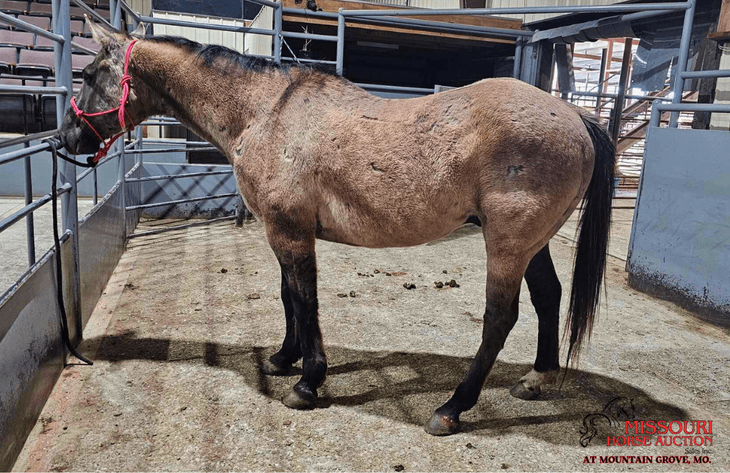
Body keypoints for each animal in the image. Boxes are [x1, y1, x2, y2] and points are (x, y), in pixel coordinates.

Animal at [57, 21, 615, 436]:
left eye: (89, 72)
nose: (65, 140)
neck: (266, 113)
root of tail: (574, 117)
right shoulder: (282, 232)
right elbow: (288, 296)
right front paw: (284, 358)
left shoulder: (289, 231)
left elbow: (305, 300)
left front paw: (308, 382)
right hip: (531, 244)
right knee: (548, 297)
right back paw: (536, 379)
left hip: (506, 243)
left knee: (500, 318)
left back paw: (451, 408)